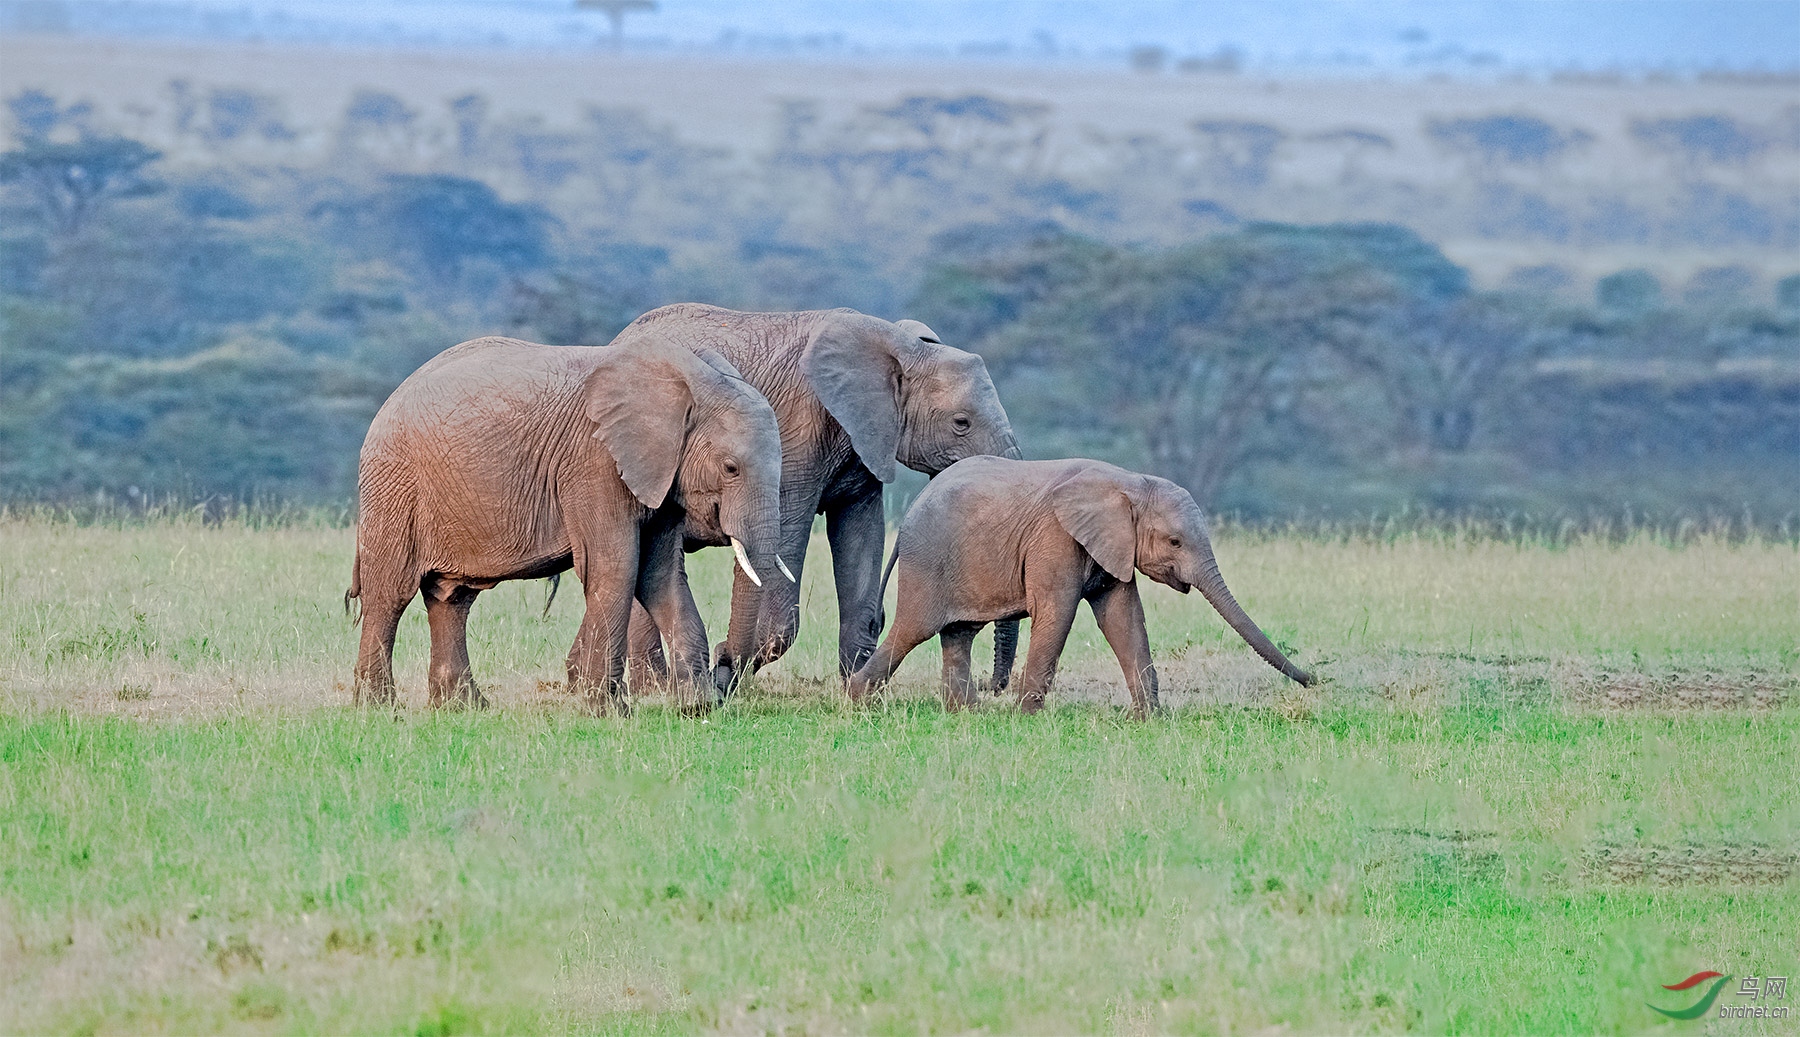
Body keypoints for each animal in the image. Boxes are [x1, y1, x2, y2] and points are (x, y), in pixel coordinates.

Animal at [347, 331, 784, 712]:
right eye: (730, 468)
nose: (723, 671)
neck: (690, 380)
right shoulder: (593, 462)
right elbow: (615, 568)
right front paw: (607, 712)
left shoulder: (660, 476)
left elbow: (660, 574)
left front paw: (696, 708)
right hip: (395, 485)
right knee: (390, 594)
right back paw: (379, 709)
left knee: (452, 598)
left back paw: (464, 708)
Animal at [612, 307, 1022, 698]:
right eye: (961, 423)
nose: (992, 685)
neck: (899, 344)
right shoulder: (797, 435)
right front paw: (723, 676)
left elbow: (860, 541)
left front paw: (853, 691)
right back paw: (656, 688)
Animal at [849, 457, 1317, 716]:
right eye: (1175, 542)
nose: (1314, 680)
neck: (1131, 482)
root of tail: (909, 513)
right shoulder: (1056, 537)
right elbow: (1058, 612)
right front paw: (1026, 719)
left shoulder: (1111, 545)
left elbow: (1123, 617)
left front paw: (1150, 720)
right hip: (928, 563)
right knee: (913, 630)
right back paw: (855, 701)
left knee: (958, 634)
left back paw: (967, 714)